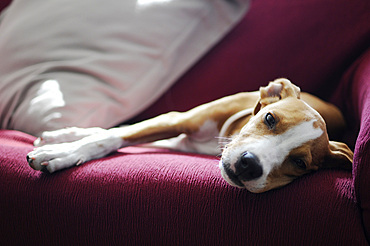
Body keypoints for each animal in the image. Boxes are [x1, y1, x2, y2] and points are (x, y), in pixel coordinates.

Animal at [26, 78, 352, 192]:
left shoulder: (181, 138)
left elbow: (112, 137)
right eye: (270, 119)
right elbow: (108, 138)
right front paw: (60, 152)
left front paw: (63, 150)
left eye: (299, 164)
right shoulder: (177, 120)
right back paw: (63, 135)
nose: (249, 164)